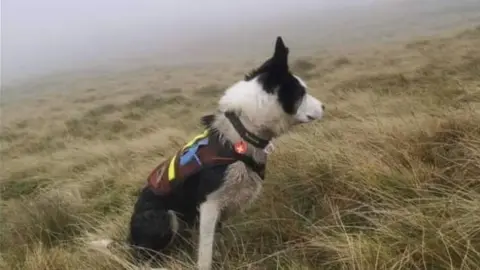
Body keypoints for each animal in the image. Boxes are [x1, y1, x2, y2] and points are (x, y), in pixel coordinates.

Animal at [91, 36, 322, 270]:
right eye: (301, 93)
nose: (323, 106)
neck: (241, 130)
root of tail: (130, 242)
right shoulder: (209, 205)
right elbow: (205, 254)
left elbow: (217, 242)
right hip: (164, 218)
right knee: (147, 257)